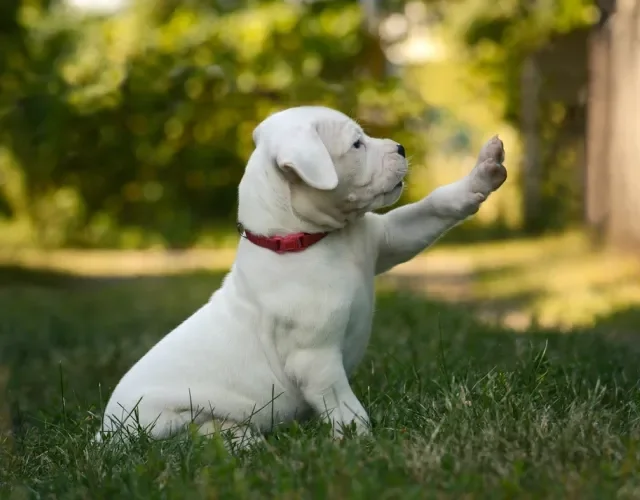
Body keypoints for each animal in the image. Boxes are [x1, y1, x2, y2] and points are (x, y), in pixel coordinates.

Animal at [100, 105, 508, 446]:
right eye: (357, 143)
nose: (401, 148)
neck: (307, 239)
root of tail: (102, 438)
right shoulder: (316, 360)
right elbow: (345, 407)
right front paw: (365, 442)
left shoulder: (388, 240)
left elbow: (433, 208)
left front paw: (483, 173)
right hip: (162, 418)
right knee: (194, 436)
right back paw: (242, 439)